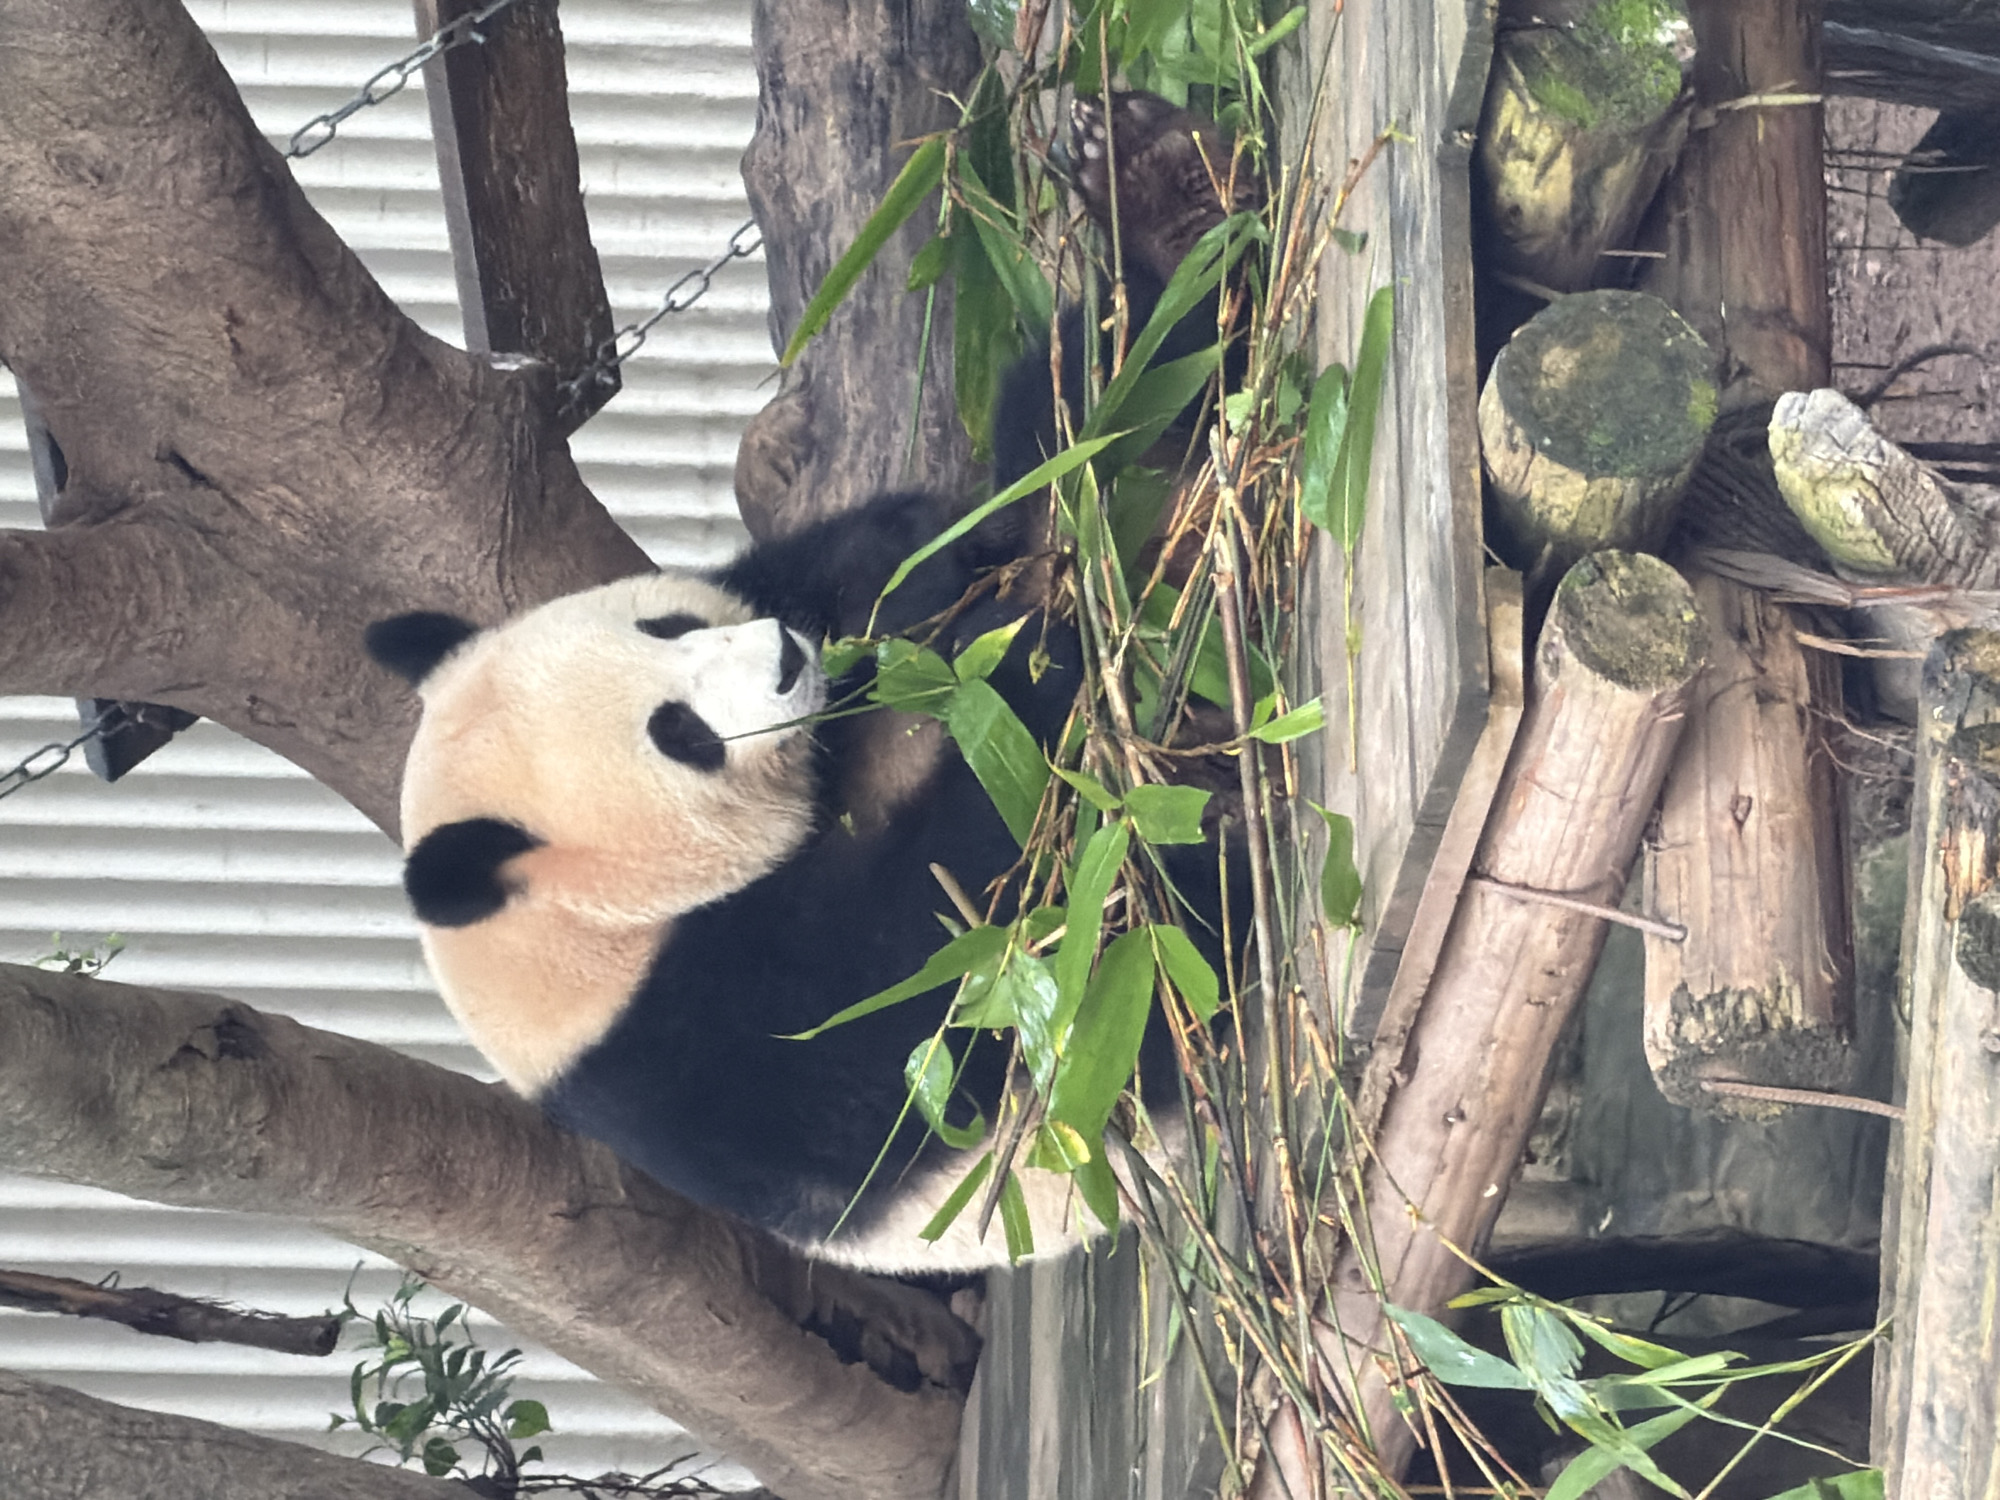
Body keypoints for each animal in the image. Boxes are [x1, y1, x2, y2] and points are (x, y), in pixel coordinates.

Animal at [366, 92, 1254, 1269]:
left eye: (663, 623)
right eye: (680, 734)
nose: (791, 659)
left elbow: (965, 518)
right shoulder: (697, 1054)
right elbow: (926, 1008)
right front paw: (1033, 679)